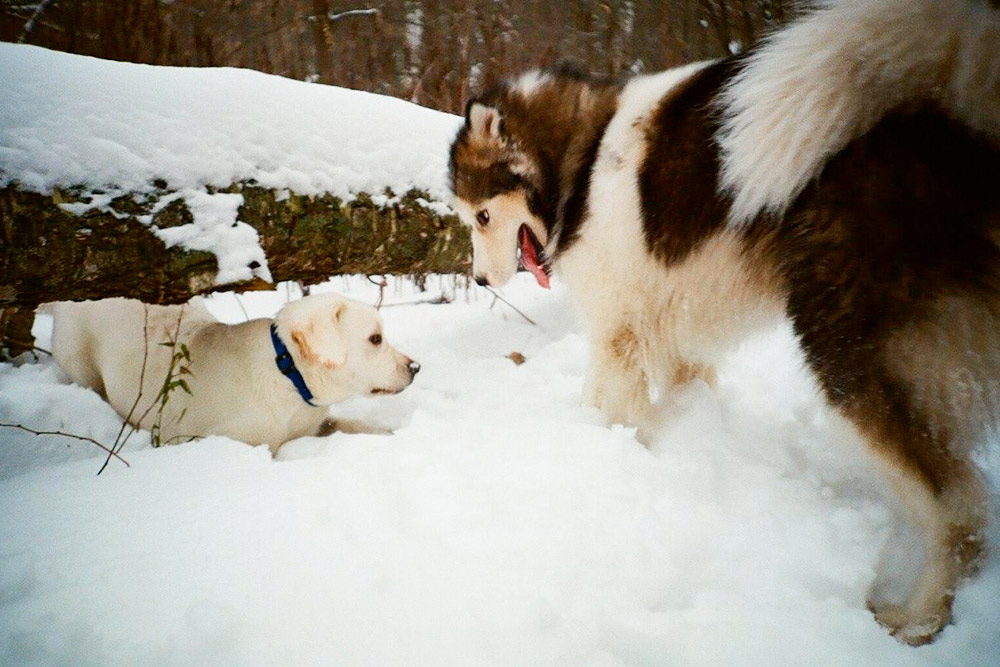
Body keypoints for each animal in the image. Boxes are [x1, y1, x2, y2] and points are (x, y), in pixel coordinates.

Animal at [47, 294, 418, 452]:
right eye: (375, 338)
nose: (415, 367)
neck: (289, 378)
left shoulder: (317, 423)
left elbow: (356, 424)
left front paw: (390, 434)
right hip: (79, 360)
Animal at [452, 0, 1000, 648]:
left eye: (482, 216)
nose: (479, 281)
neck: (581, 163)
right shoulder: (673, 333)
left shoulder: (617, 330)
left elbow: (616, 404)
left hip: (849, 355)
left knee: (958, 507)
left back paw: (917, 617)